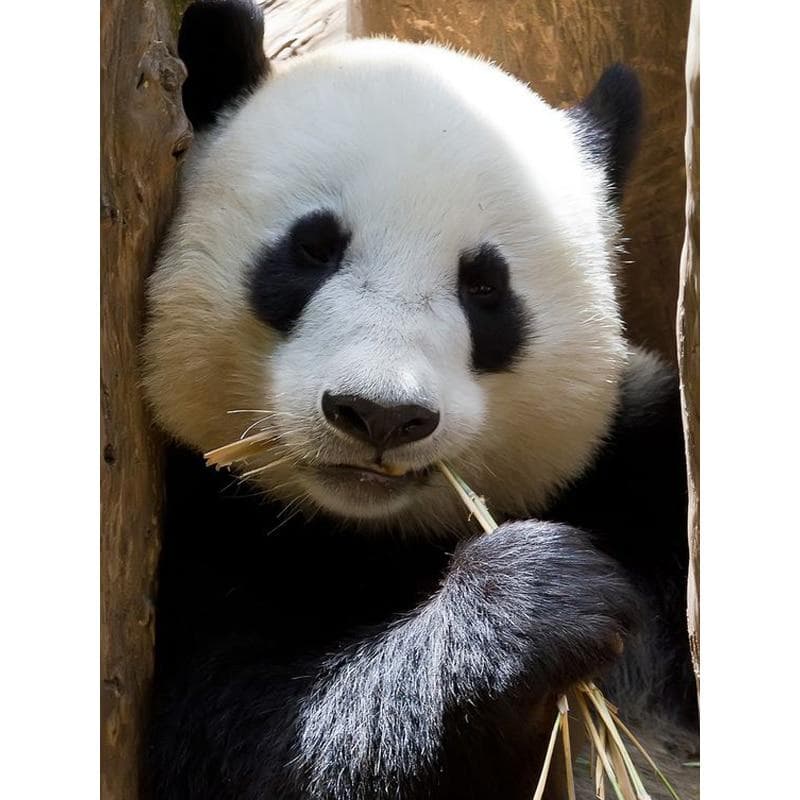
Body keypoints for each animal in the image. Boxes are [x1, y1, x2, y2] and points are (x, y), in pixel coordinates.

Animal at [142, 1, 698, 798]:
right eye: (313, 250)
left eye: (485, 286)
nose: (379, 414)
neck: (369, 533)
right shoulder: (205, 530)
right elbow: (242, 739)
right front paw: (534, 600)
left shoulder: (634, 462)